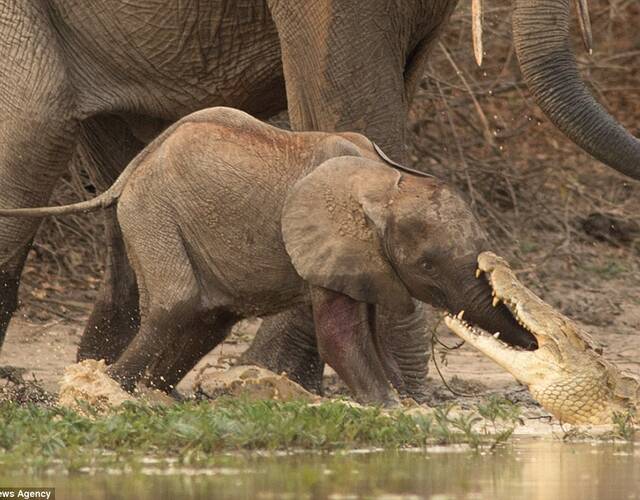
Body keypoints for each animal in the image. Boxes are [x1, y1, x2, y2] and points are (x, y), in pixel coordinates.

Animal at [1, 106, 536, 406]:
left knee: (208, 318)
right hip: (153, 214)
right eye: (426, 264)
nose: (537, 343)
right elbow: (340, 334)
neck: (386, 182)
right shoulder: (325, 240)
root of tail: (132, 169)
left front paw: (405, 401)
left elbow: (366, 329)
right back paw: (104, 391)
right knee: (175, 306)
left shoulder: (361, 258)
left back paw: (155, 394)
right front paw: (391, 406)